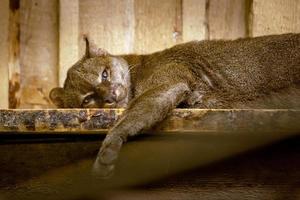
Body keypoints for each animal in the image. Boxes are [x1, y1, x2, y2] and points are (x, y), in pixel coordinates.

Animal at [49, 33, 300, 177]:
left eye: (104, 74)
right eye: (87, 99)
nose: (111, 95)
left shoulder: (169, 82)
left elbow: (131, 115)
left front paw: (108, 151)